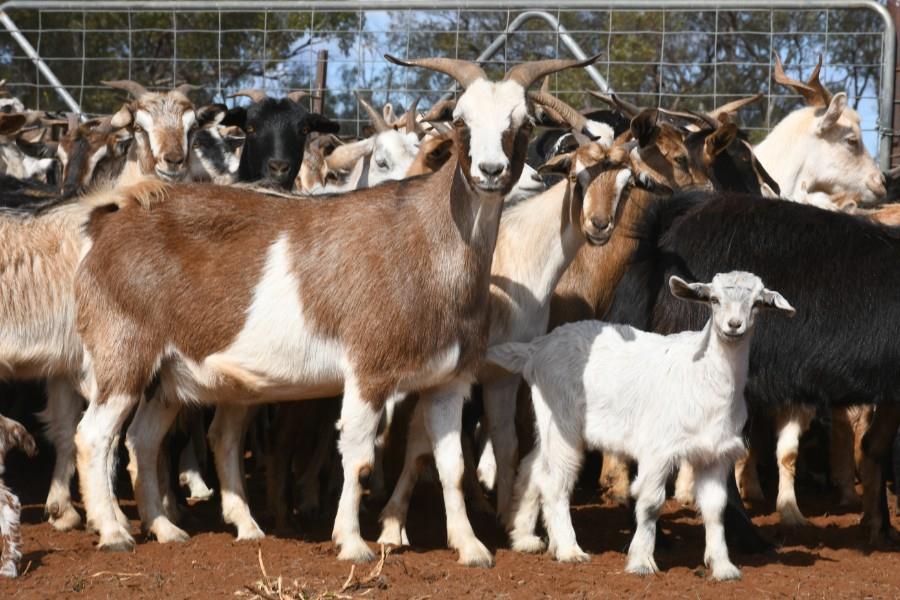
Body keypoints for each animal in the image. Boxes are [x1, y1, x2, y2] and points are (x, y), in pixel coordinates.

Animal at [71, 54, 599, 566]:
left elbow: (450, 465)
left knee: (141, 438)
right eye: (462, 121)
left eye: (523, 123)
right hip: (123, 356)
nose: (490, 171)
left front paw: (471, 548)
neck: (428, 244)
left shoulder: (449, 381)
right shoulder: (369, 371)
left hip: (169, 375)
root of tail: (105, 230)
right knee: (93, 436)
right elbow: (360, 458)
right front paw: (353, 542)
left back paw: (165, 528)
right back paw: (115, 532)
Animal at [489, 271, 793, 580]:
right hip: (563, 422)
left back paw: (525, 538)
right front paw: (641, 561)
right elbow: (650, 503)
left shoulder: (714, 455)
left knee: (534, 467)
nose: (734, 325)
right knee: (556, 481)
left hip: (549, 425)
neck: (703, 373)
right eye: (714, 299)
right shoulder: (658, 449)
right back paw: (569, 550)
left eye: (757, 304)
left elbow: (715, 508)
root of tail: (536, 349)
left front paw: (723, 567)